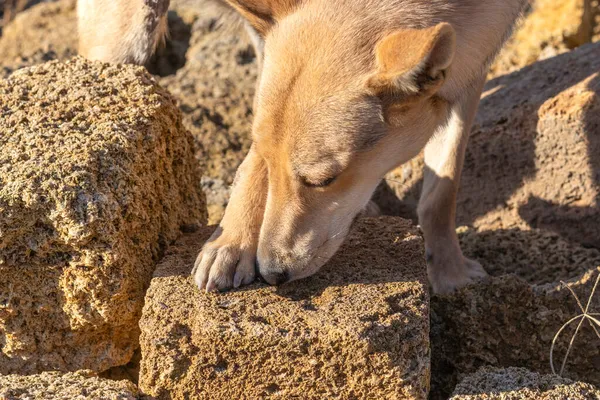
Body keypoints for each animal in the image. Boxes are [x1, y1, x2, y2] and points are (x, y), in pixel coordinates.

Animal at [77, 0, 528, 294]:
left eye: (324, 180)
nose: (272, 272)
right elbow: (254, 161)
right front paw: (231, 242)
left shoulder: (470, 70)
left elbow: (442, 191)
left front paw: (449, 272)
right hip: (127, 35)